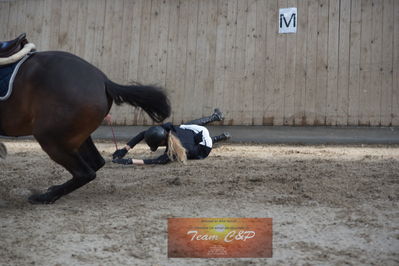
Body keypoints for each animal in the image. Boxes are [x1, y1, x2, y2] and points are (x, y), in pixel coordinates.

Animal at [0, 44, 170, 204]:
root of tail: (103, 81)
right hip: (75, 137)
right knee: (95, 163)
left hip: (51, 139)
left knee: (85, 172)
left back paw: (44, 197)